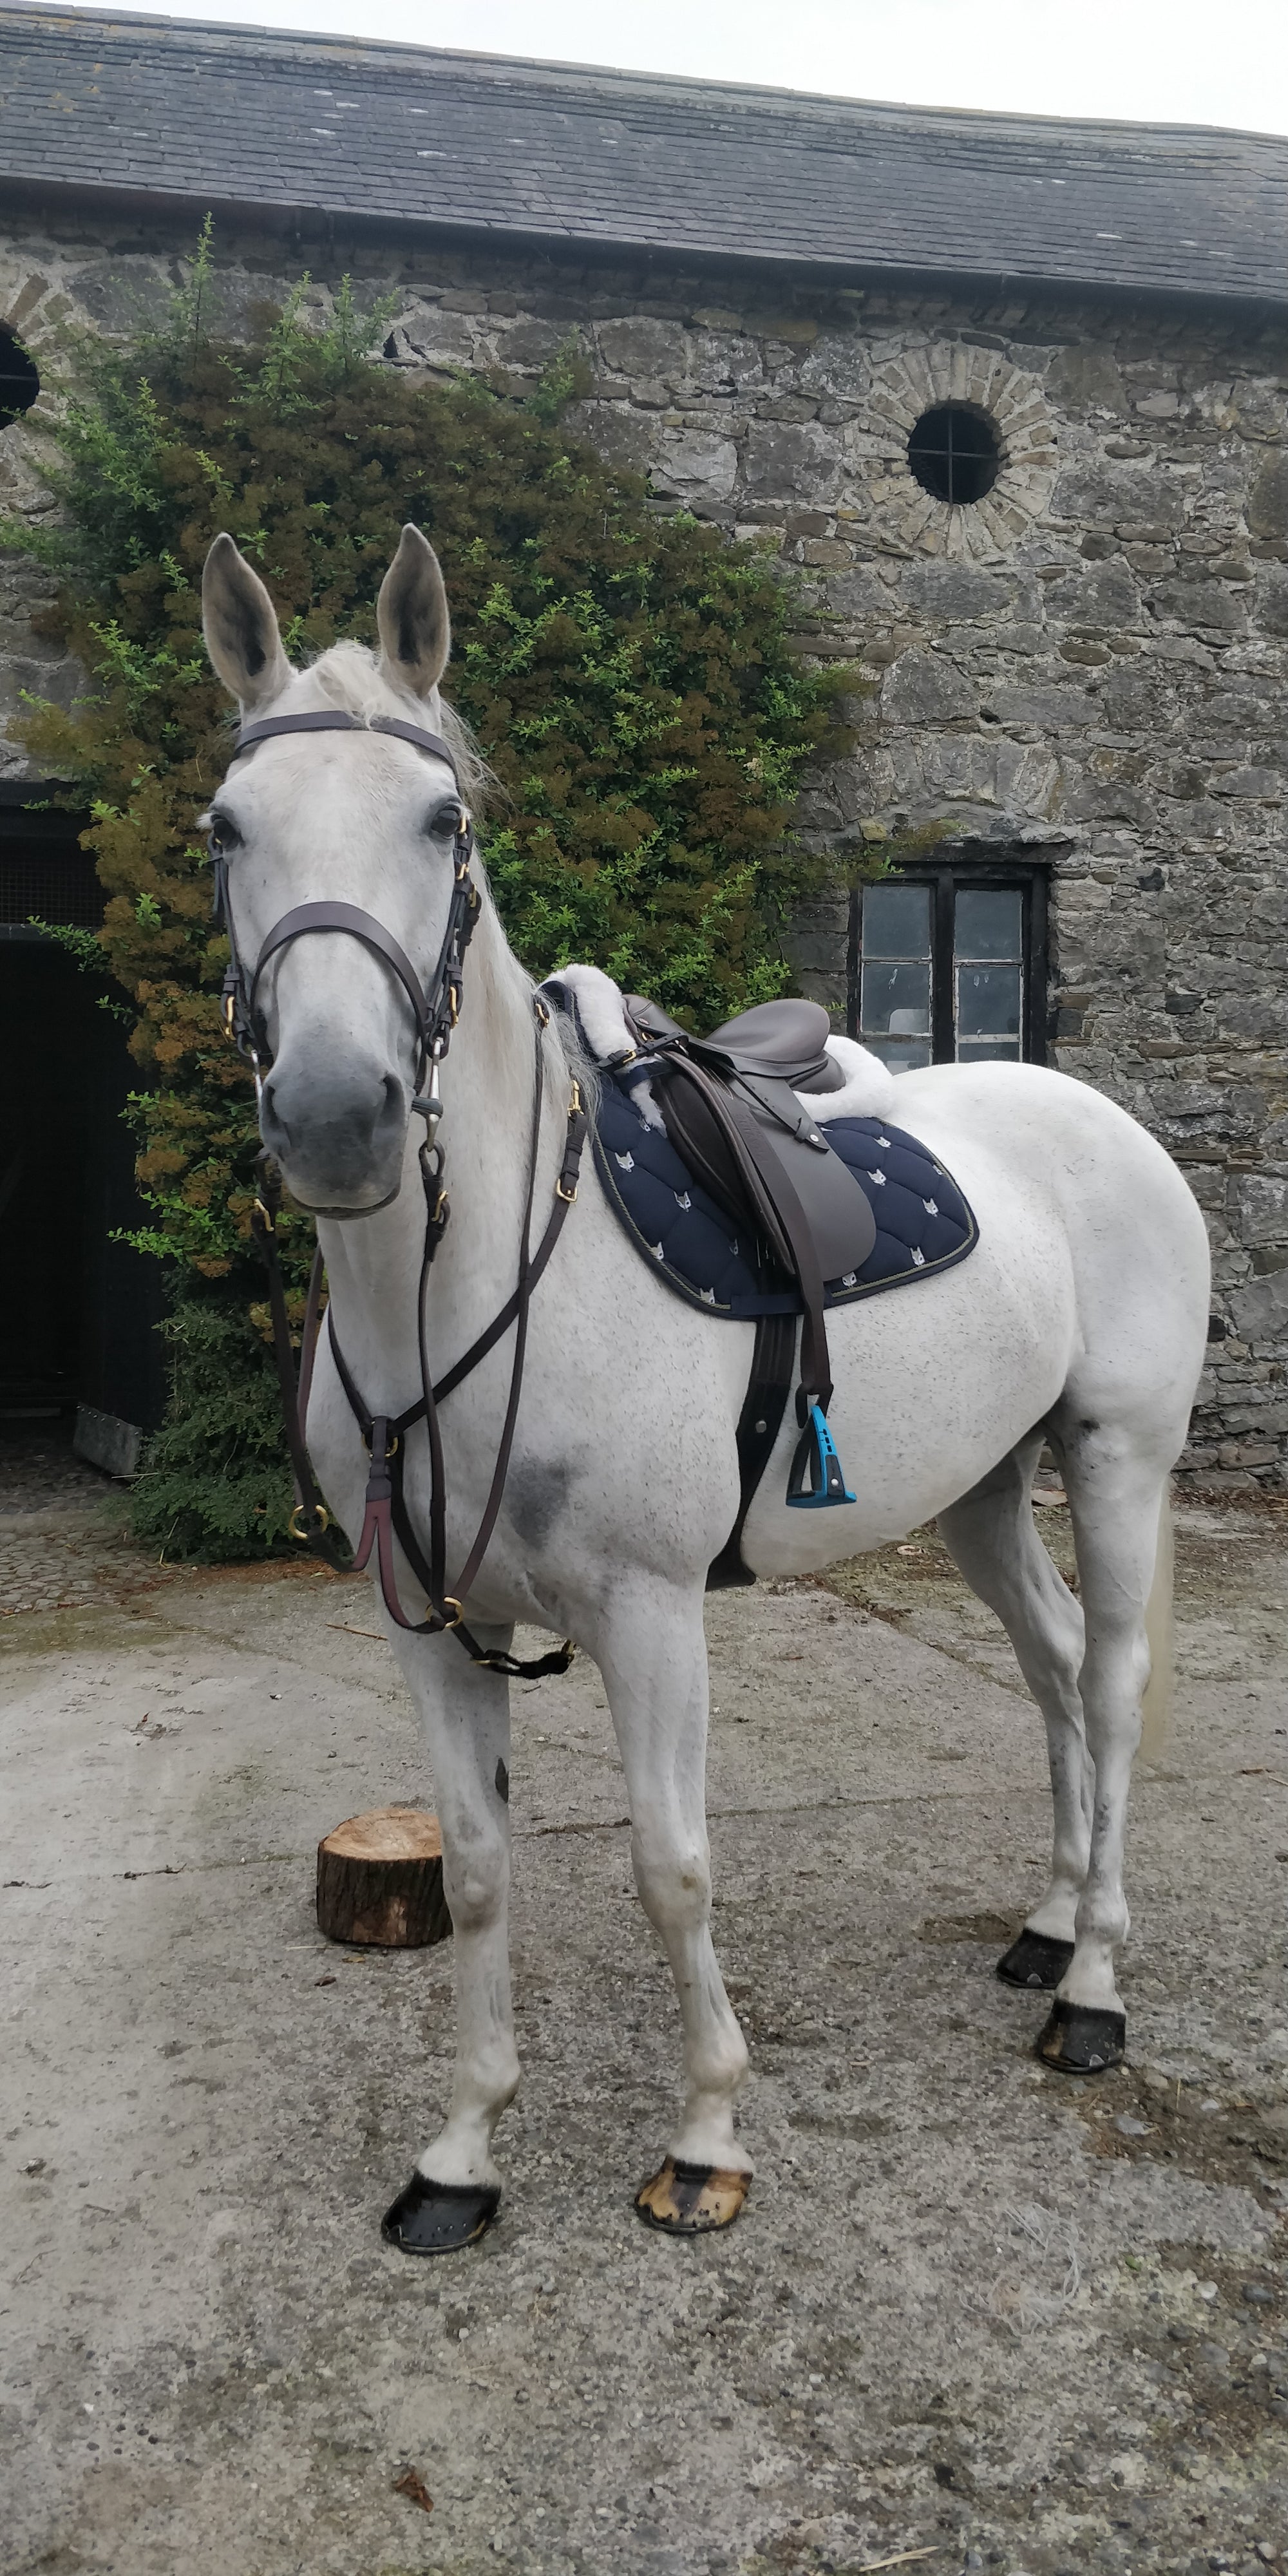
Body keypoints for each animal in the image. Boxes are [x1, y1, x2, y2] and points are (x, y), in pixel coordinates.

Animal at [198, 528, 1206, 2257]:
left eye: (444, 823)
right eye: (225, 826)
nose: (338, 1116)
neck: (468, 1296)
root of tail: (1099, 1117)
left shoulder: (651, 1613)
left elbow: (670, 1868)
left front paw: (705, 2138)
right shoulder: (425, 1624)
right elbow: (477, 1867)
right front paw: (460, 2152)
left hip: (1118, 1455)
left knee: (1121, 1679)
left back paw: (1089, 1989)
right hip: (984, 1488)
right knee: (1058, 1668)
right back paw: (1045, 1917)